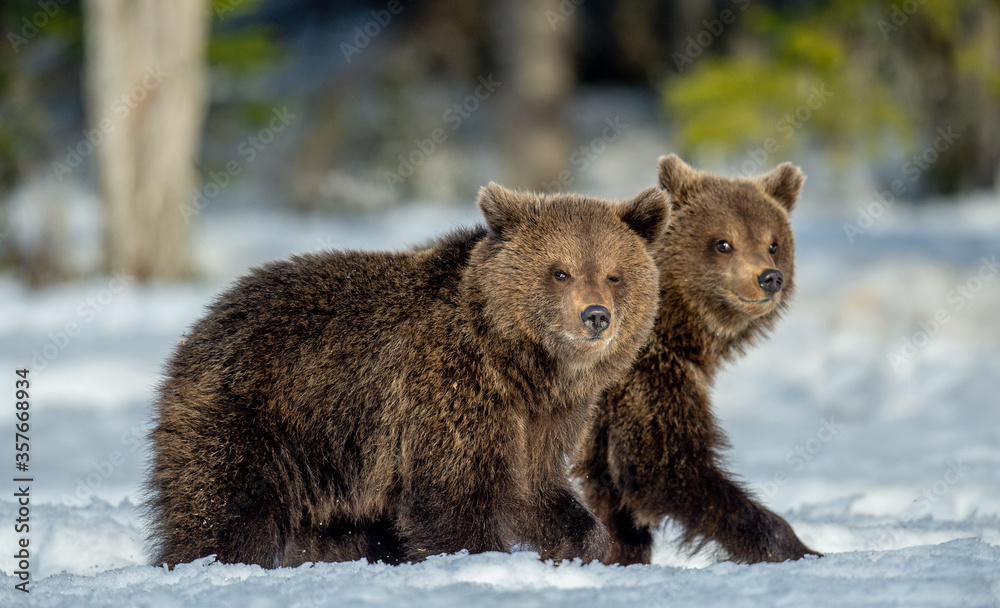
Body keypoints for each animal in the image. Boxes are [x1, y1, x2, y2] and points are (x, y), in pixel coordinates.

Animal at [146, 182, 670, 568]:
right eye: (560, 272)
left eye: (614, 274)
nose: (596, 316)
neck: (522, 365)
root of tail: (202, 323)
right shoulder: (450, 392)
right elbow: (454, 497)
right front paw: (476, 556)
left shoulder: (545, 419)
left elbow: (536, 488)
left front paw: (583, 546)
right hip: (257, 416)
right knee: (222, 506)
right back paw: (207, 561)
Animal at [578, 154, 820, 565]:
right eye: (723, 242)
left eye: (773, 243)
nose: (770, 278)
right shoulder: (643, 377)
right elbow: (668, 466)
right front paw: (799, 548)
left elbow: (613, 493)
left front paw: (621, 553)